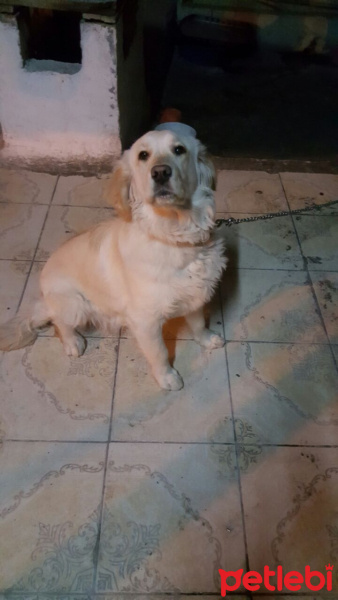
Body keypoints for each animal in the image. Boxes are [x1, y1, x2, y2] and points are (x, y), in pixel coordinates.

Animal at [0, 130, 227, 390]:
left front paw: (207, 339)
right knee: (59, 321)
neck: (173, 235)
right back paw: (72, 342)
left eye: (179, 150)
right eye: (143, 155)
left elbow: (199, 323)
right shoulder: (146, 321)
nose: (160, 173)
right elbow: (159, 352)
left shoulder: (195, 293)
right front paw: (167, 377)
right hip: (75, 303)